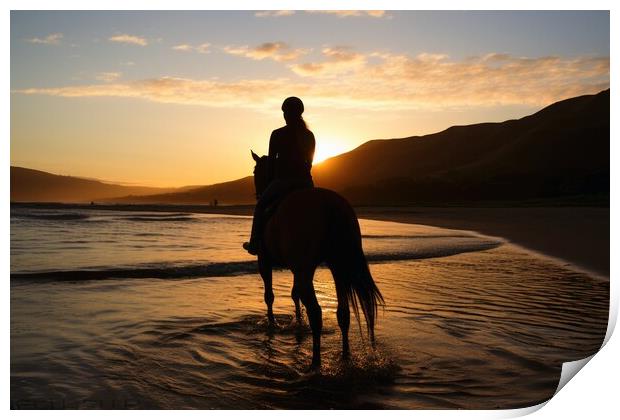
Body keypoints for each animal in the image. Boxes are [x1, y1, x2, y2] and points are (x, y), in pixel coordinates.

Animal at [247, 151, 382, 368]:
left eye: (255, 171)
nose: (258, 193)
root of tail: (330, 205)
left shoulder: (264, 262)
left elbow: (270, 296)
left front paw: (272, 324)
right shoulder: (298, 268)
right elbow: (294, 295)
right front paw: (298, 322)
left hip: (308, 269)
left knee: (316, 312)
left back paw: (315, 362)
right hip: (337, 266)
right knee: (342, 313)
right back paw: (345, 355)